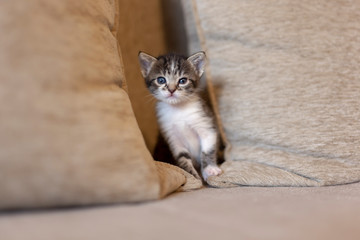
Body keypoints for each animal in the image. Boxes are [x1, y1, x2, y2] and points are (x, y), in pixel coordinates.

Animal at [139, 51, 221, 181]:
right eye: (161, 80)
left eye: (183, 80)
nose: (171, 90)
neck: (178, 110)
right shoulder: (172, 137)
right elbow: (182, 157)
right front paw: (193, 176)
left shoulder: (205, 124)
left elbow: (207, 150)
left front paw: (209, 169)